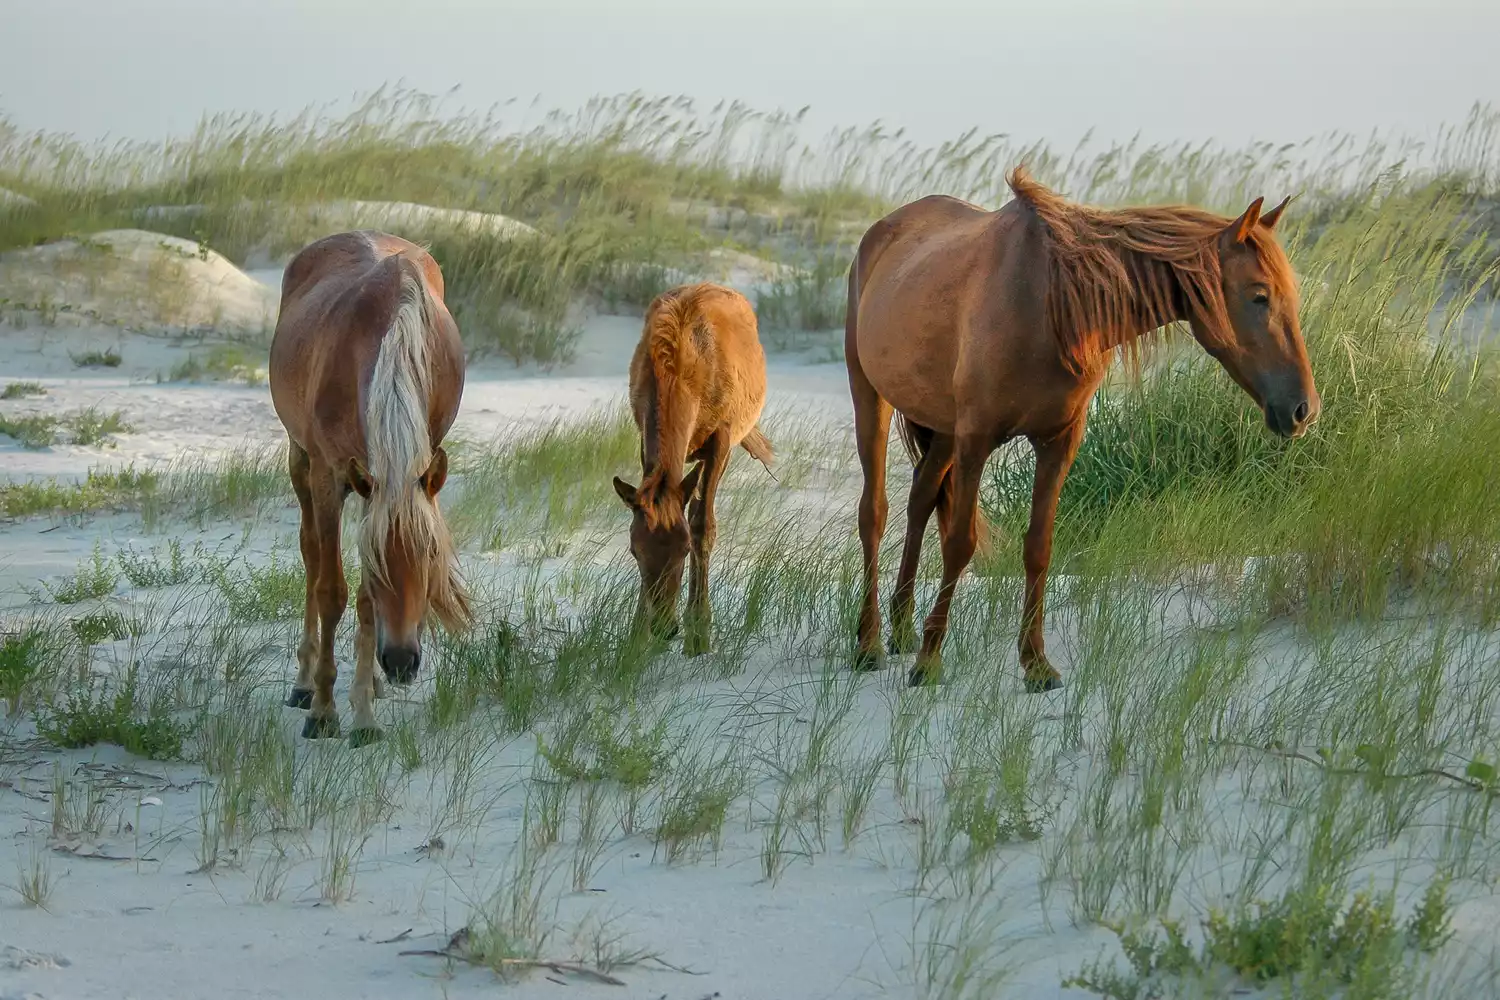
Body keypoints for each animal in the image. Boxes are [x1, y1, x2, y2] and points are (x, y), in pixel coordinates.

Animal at [269, 230, 471, 746]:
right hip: (301, 463)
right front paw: (324, 710)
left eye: (432, 555)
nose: (400, 662)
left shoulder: (378, 487)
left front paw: (363, 711)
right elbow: (331, 590)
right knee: (310, 557)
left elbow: (363, 600)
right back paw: (305, 684)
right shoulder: (330, 476)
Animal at [612, 282, 774, 655]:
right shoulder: (643, 435)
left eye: (683, 549)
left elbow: (703, 526)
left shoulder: (722, 436)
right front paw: (635, 635)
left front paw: (699, 635)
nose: (663, 627)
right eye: (634, 552)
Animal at [845, 167, 1318, 691]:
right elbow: (959, 544)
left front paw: (1035, 664)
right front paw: (930, 663)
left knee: (922, 497)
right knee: (875, 514)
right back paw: (868, 643)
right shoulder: (976, 441)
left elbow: (1039, 547)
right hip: (872, 398)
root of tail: (884, 228)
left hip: (943, 428)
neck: (1048, 304)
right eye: (1259, 295)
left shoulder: (1057, 444)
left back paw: (902, 626)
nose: (1304, 409)